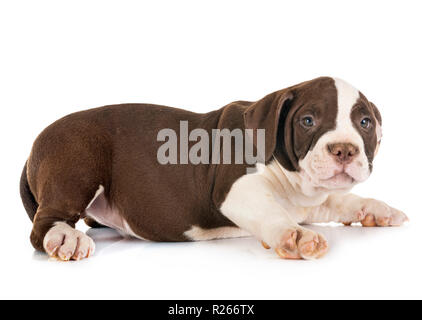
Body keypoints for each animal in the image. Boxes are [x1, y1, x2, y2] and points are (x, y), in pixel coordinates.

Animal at [20, 77, 408, 260]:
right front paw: (293, 235)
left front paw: (376, 209)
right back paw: (66, 238)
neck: (295, 183)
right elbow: (270, 211)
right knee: (46, 222)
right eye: (308, 121)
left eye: (364, 123)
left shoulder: (307, 200)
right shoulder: (236, 191)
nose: (344, 149)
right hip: (78, 161)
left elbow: (339, 200)